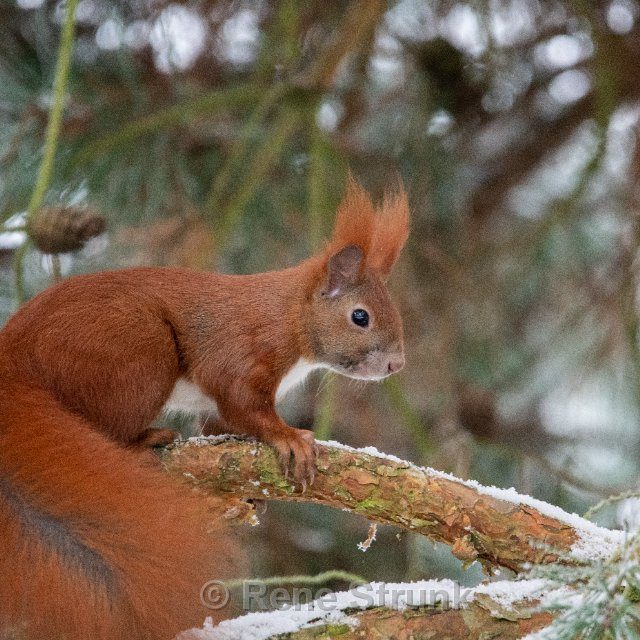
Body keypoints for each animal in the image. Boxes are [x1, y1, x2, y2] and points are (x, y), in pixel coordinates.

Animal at [0, 176, 410, 640]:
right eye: (360, 317)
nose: (396, 364)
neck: (291, 317)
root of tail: (14, 357)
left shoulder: (216, 408)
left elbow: (220, 427)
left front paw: (250, 495)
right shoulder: (244, 353)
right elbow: (244, 406)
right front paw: (289, 438)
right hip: (139, 353)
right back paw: (143, 440)